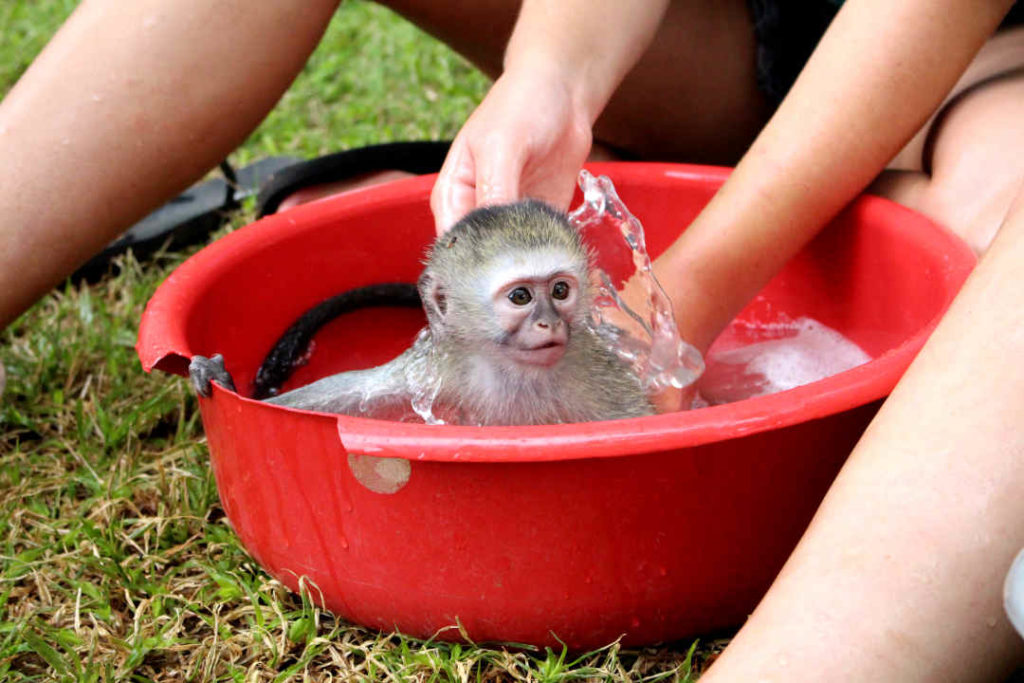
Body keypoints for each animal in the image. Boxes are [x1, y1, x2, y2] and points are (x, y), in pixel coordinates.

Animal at [191, 197, 651, 423]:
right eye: (520, 297)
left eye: (559, 290)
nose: (549, 323)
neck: (514, 371)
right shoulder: (441, 366)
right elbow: (357, 392)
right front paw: (222, 380)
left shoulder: (596, 374)